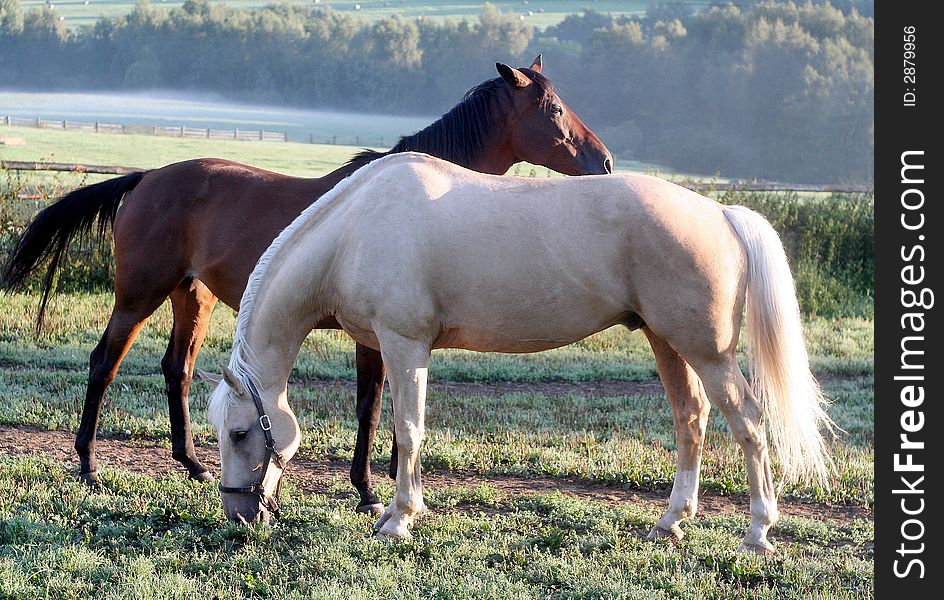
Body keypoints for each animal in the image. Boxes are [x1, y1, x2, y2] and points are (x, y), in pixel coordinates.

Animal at [0, 58, 612, 512]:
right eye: (552, 109)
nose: (603, 161)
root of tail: (147, 177)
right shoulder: (374, 336)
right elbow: (372, 406)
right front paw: (368, 490)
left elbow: (382, 405)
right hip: (139, 296)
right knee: (105, 362)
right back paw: (87, 464)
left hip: (191, 297)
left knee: (178, 368)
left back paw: (193, 463)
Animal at [205, 152, 832, 556]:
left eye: (238, 432)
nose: (240, 514)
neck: (356, 229)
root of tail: (722, 214)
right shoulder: (407, 350)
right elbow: (408, 431)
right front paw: (408, 508)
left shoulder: (403, 342)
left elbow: (407, 430)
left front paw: (397, 520)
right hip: (666, 343)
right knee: (691, 419)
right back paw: (670, 523)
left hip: (708, 352)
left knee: (748, 422)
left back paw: (758, 532)